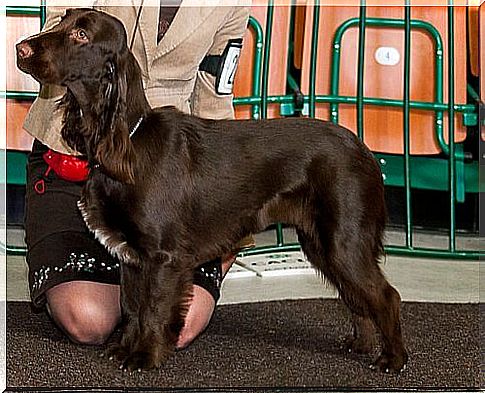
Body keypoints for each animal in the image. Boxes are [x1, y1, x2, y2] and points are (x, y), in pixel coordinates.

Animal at [17, 8, 406, 370]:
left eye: (81, 35)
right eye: (62, 21)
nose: (21, 48)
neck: (126, 143)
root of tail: (364, 151)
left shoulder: (163, 257)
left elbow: (152, 309)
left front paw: (143, 356)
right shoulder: (130, 256)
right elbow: (130, 307)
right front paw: (124, 349)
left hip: (343, 240)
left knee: (385, 295)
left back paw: (392, 359)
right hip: (321, 242)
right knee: (355, 296)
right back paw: (361, 346)